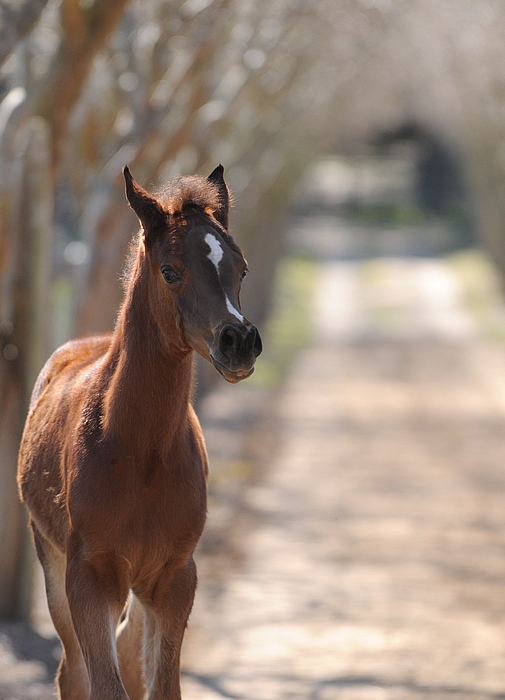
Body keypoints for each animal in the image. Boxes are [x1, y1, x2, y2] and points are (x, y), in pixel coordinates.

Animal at [17, 167, 262, 696]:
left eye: (242, 268)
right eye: (169, 270)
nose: (239, 342)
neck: (139, 454)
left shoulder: (174, 578)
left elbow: (161, 684)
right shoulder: (89, 576)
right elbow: (105, 685)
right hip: (51, 558)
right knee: (73, 672)